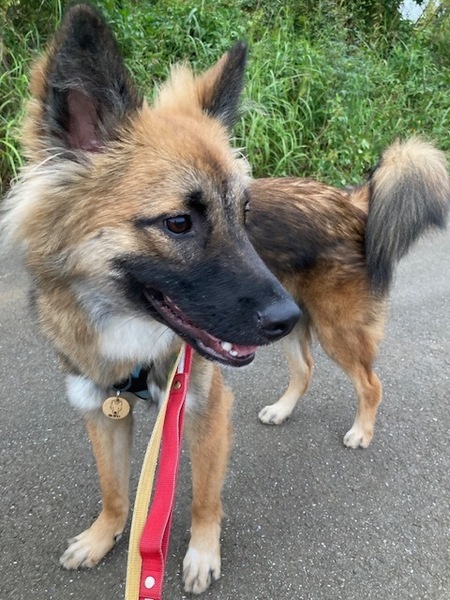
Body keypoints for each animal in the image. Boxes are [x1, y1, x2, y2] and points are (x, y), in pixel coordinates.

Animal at [0, 5, 300, 594]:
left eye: (244, 213)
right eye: (178, 223)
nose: (286, 318)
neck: (127, 330)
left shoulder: (206, 405)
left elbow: (205, 496)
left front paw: (202, 552)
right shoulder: (100, 409)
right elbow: (115, 490)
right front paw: (104, 535)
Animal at [247, 138, 450, 448]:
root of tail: (348, 202)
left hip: (337, 328)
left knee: (371, 385)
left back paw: (361, 431)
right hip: (290, 320)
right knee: (304, 370)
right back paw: (282, 410)